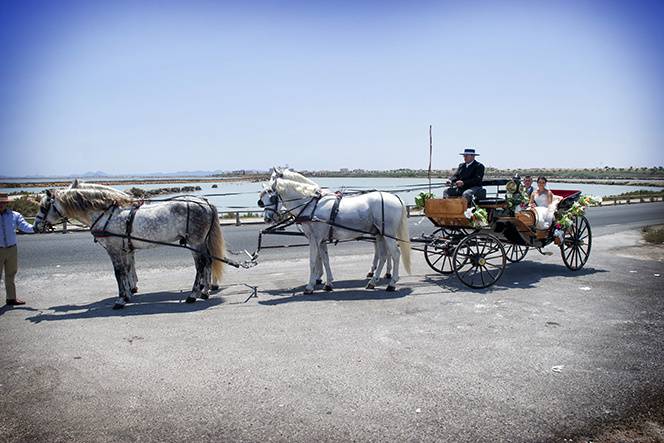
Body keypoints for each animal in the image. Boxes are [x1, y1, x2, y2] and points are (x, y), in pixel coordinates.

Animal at [33, 186, 226, 308]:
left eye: (44, 207)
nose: (35, 227)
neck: (106, 213)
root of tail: (205, 202)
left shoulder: (114, 250)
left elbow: (118, 273)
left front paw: (120, 300)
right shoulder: (125, 250)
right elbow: (126, 271)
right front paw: (128, 294)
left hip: (195, 242)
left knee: (201, 265)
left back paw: (194, 295)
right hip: (199, 243)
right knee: (207, 263)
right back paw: (204, 292)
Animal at [260, 168, 410, 294]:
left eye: (272, 197)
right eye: (261, 200)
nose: (267, 218)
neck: (311, 204)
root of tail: (395, 197)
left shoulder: (314, 239)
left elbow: (313, 261)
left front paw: (310, 285)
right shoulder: (321, 240)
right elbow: (325, 259)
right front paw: (328, 283)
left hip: (388, 234)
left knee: (395, 254)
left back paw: (391, 283)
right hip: (380, 234)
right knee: (384, 255)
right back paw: (373, 281)